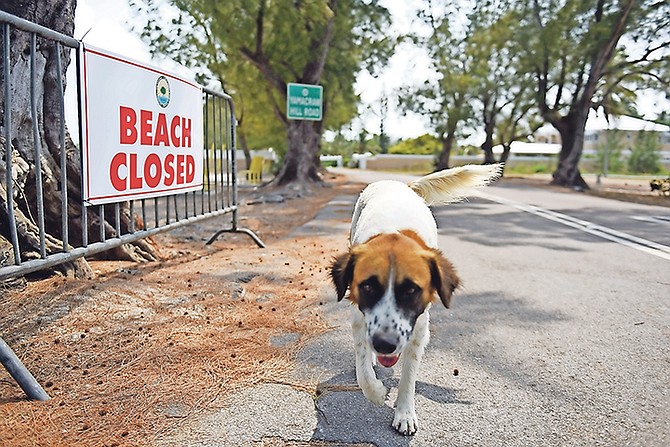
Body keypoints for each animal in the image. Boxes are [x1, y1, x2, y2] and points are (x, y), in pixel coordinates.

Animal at [334, 164, 502, 434]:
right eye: (368, 286)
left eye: (411, 290)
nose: (384, 344)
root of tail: (400, 184)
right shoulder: (358, 318)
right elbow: (363, 369)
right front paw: (376, 391)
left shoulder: (420, 330)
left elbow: (408, 376)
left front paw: (404, 413)